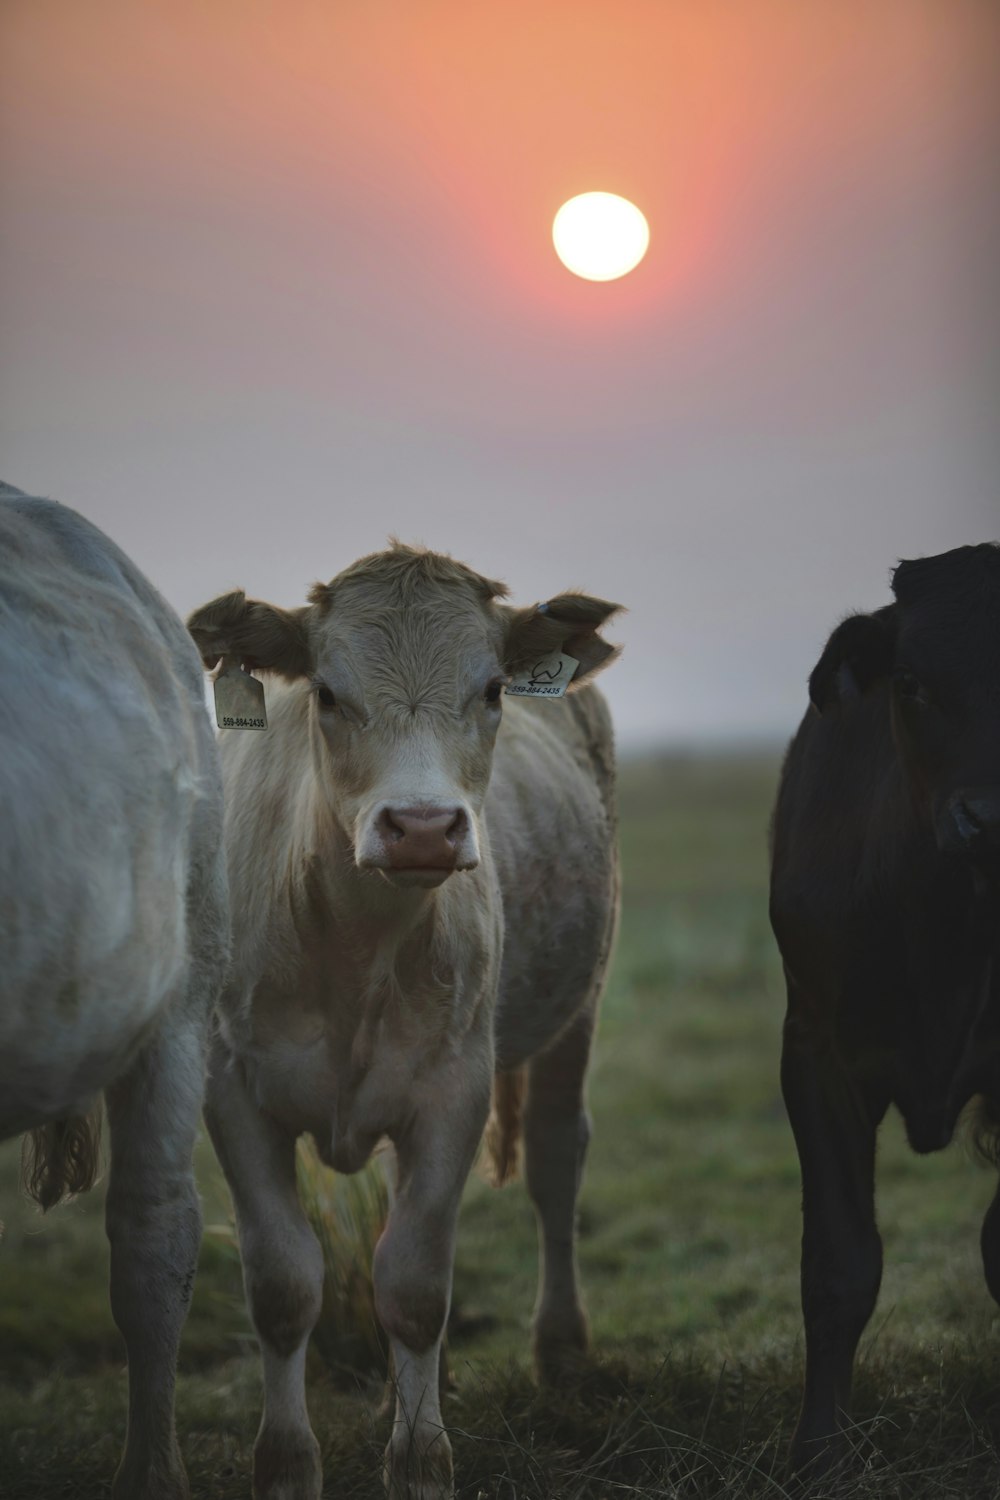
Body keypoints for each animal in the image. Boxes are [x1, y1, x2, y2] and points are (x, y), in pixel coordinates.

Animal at [188, 549, 620, 1500]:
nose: (422, 827)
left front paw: (421, 1461)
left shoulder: (454, 1090)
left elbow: (416, 1287)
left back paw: (564, 1351)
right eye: (327, 692)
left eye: (492, 688)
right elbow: (284, 1286)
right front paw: (286, 1464)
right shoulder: (233, 1092)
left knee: (557, 1159)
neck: (350, 948)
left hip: (578, 1006)